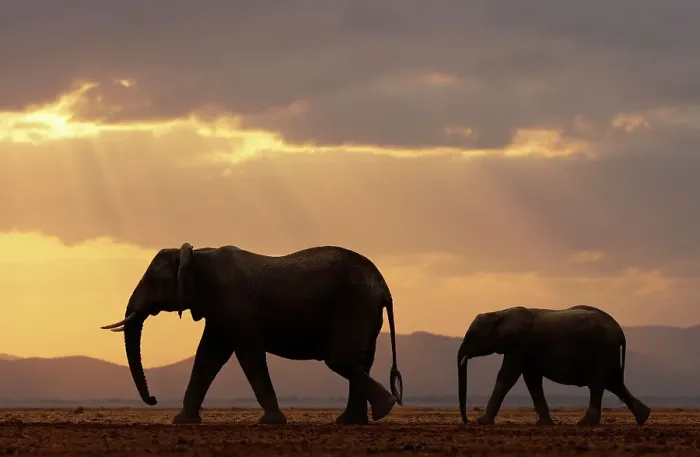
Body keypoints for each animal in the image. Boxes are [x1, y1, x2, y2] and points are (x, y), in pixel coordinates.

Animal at [100, 243, 403, 425]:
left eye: (152, 280)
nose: (154, 400)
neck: (198, 254)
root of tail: (384, 286)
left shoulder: (237, 305)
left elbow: (248, 354)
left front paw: (271, 422)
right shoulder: (220, 312)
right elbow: (208, 355)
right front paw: (183, 421)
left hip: (355, 306)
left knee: (340, 360)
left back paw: (384, 408)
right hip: (366, 312)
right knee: (359, 361)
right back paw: (353, 420)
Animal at [457, 305, 651, 426]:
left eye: (472, 336)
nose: (466, 421)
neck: (499, 313)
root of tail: (619, 330)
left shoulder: (518, 345)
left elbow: (507, 376)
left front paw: (482, 422)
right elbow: (532, 380)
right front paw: (544, 424)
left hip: (602, 350)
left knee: (598, 384)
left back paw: (585, 424)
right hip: (608, 352)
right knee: (614, 383)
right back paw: (643, 417)